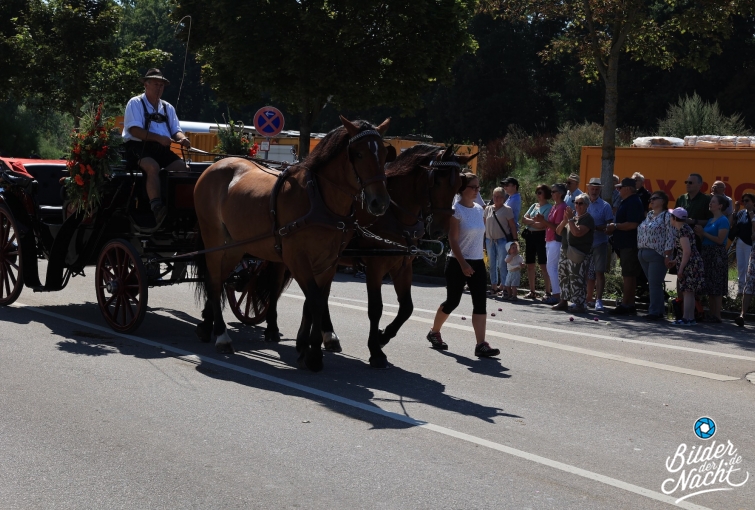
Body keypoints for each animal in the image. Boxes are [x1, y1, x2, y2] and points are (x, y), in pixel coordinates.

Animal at [193, 116, 393, 372]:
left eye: (384, 154)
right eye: (358, 154)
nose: (380, 202)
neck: (319, 200)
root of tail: (215, 165)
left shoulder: (328, 262)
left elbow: (317, 300)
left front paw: (306, 346)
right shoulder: (297, 259)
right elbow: (315, 300)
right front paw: (314, 354)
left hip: (235, 246)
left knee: (217, 281)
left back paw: (206, 326)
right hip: (215, 240)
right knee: (215, 283)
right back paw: (221, 336)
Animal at [299, 145, 477, 368]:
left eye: (459, 185)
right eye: (437, 180)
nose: (440, 231)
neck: (393, 215)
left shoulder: (403, 266)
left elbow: (407, 308)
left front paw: (383, 336)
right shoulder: (376, 267)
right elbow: (376, 308)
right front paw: (375, 350)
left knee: (321, 294)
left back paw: (329, 335)